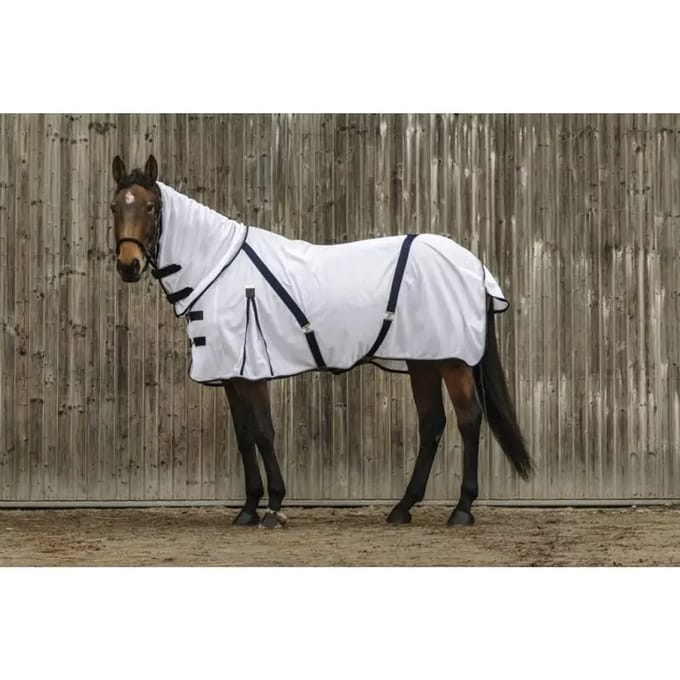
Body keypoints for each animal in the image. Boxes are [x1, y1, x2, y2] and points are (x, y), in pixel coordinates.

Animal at [111, 154, 532, 529]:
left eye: (150, 206)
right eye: (115, 206)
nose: (128, 266)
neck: (220, 269)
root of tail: (473, 265)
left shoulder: (253, 371)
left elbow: (263, 432)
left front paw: (273, 508)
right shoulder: (231, 374)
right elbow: (244, 435)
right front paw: (247, 509)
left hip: (454, 361)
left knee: (469, 420)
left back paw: (461, 510)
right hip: (423, 359)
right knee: (432, 423)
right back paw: (402, 508)